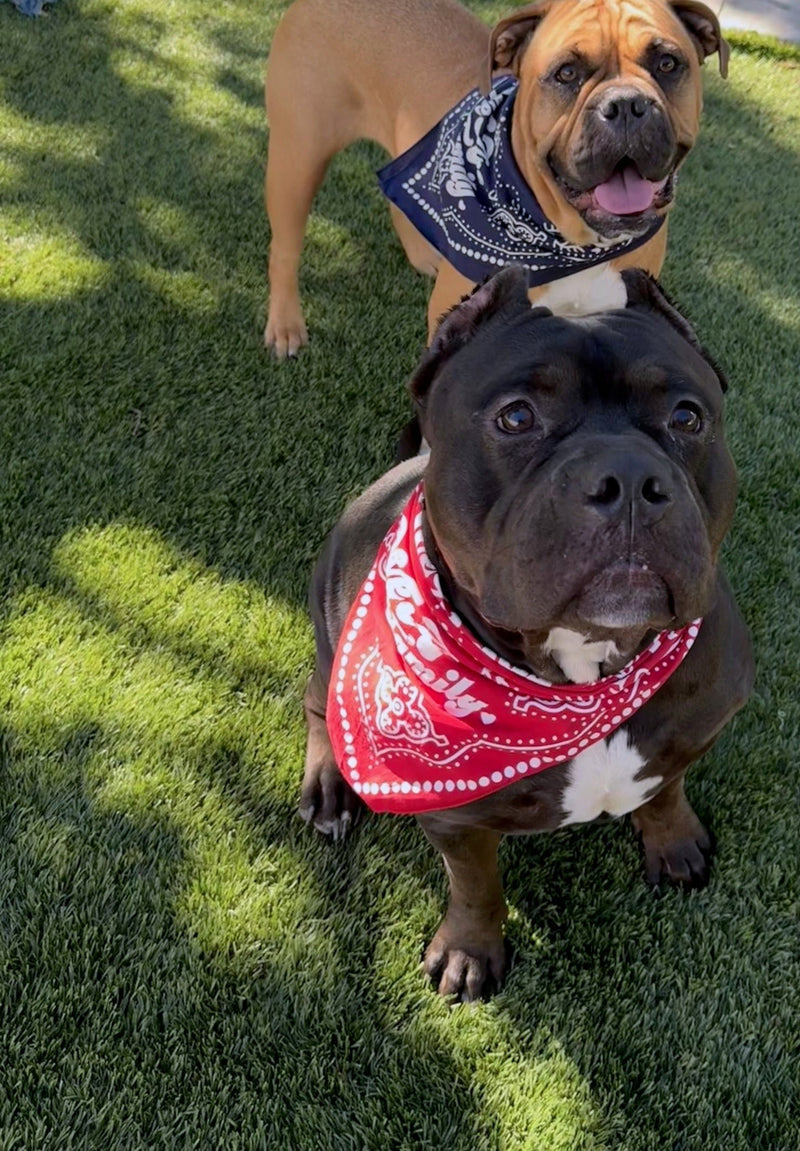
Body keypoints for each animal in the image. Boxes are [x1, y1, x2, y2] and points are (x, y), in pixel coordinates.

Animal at [265, 0, 727, 354]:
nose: (628, 104)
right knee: (284, 248)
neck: (570, 242)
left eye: (667, 63)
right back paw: (286, 324)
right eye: (566, 73)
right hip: (298, 158)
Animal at [299, 267, 750, 999]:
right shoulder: (455, 819)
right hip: (328, 632)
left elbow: (667, 787)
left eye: (688, 416)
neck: (584, 673)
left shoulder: (695, 727)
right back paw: (327, 788)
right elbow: (476, 885)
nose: (629, 477)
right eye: (516, 416)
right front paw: (469, 951)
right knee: (317, 705)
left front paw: (674, 840)